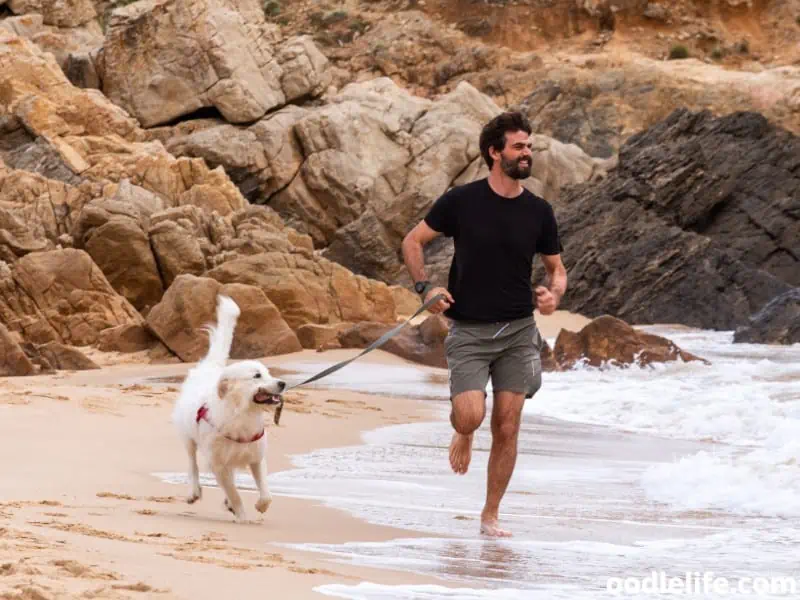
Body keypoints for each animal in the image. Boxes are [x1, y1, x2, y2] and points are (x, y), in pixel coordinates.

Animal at [172, 294, 288, 520]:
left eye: (268, 373)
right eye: (257, 375)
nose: (282, 384)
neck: (242, 414)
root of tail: (210, 368)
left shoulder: (256, 457)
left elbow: (265, 491)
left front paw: (261, 506)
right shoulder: (218, 464)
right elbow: (235, 493)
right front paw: (243, 518)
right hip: (188, 437)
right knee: (192, 464)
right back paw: (194, 491)